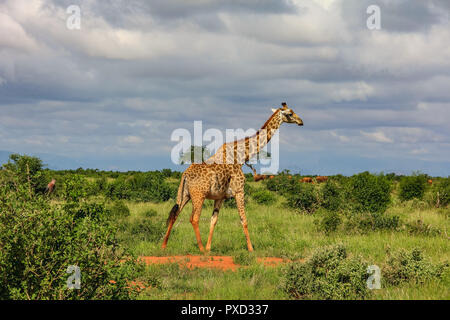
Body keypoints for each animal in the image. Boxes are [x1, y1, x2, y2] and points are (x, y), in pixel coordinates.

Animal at [161, 102, 302, 252]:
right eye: (290, 113)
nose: (301, 121)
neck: (241, 157)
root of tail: (185, 175)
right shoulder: (239, 191)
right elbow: (243, 220)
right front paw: (251, 249)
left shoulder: (220, 197)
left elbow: (213, 220)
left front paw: (209, 248)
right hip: (199, 195)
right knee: (194, 218)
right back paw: (200, 249)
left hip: (184, 194)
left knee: (174, 214)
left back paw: (164, 246)